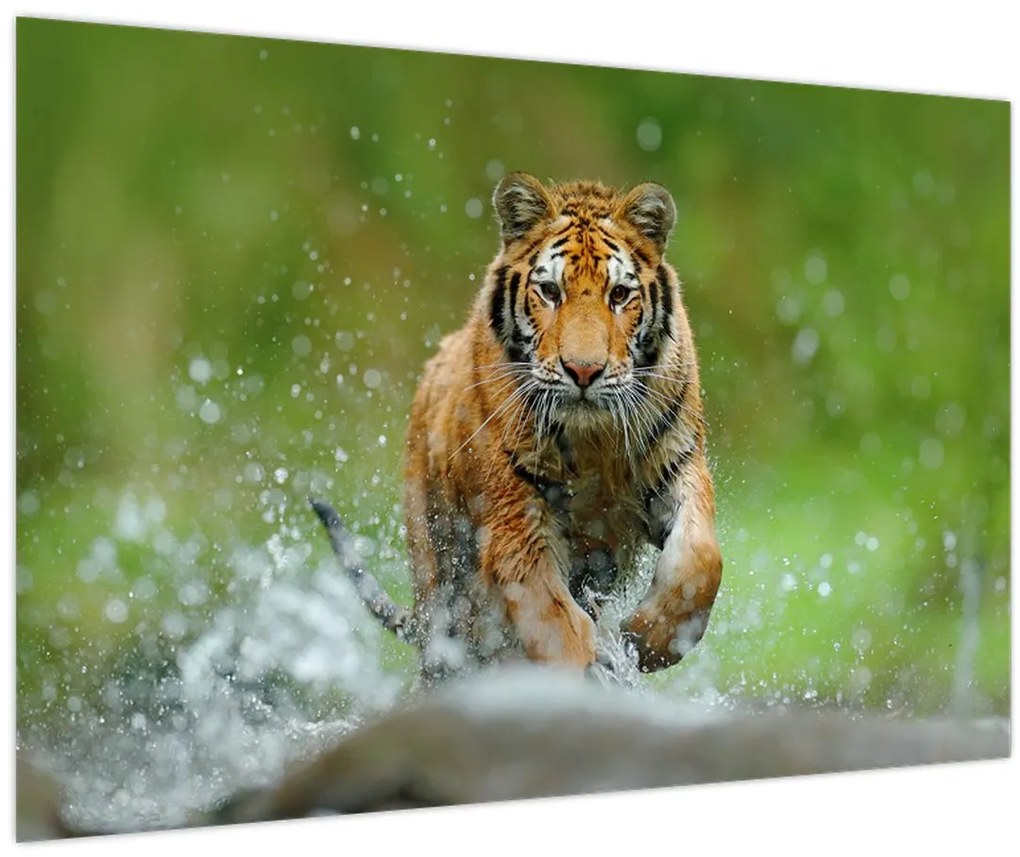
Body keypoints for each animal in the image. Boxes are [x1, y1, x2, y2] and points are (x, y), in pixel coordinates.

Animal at [314, 172, 722, 680]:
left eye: (619, 294)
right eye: (550, 291)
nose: (583, 371)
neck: (595, 441)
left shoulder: (677, 466)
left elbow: (700, 560)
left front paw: (644, 640)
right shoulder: (516, 522)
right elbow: (554, 624)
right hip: (439, 582)